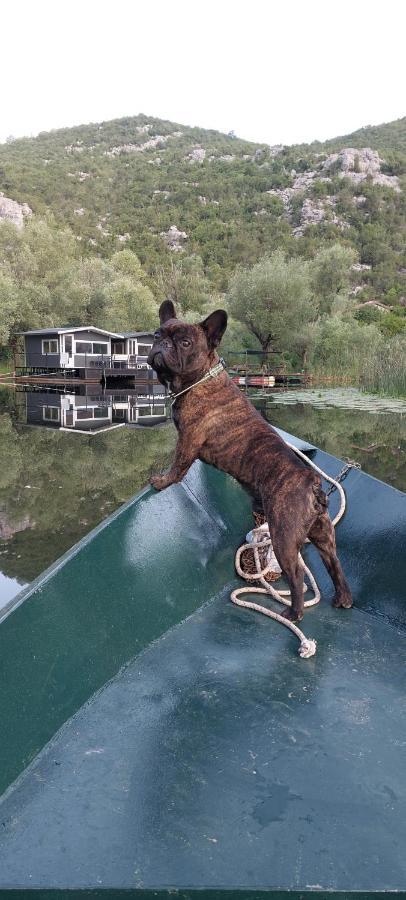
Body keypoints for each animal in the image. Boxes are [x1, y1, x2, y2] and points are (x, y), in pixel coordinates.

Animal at [147, 298, 352, 624]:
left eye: (185, 342)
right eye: (157, 334)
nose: (161, 344)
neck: (200, 378)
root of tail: (312, 485)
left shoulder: (188, 438)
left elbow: (178, 466)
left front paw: (162, 481)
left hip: (282, 536)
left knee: (296, 573)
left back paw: (292, 612)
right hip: (322, 535)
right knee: (334, 563)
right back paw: (343, 599)